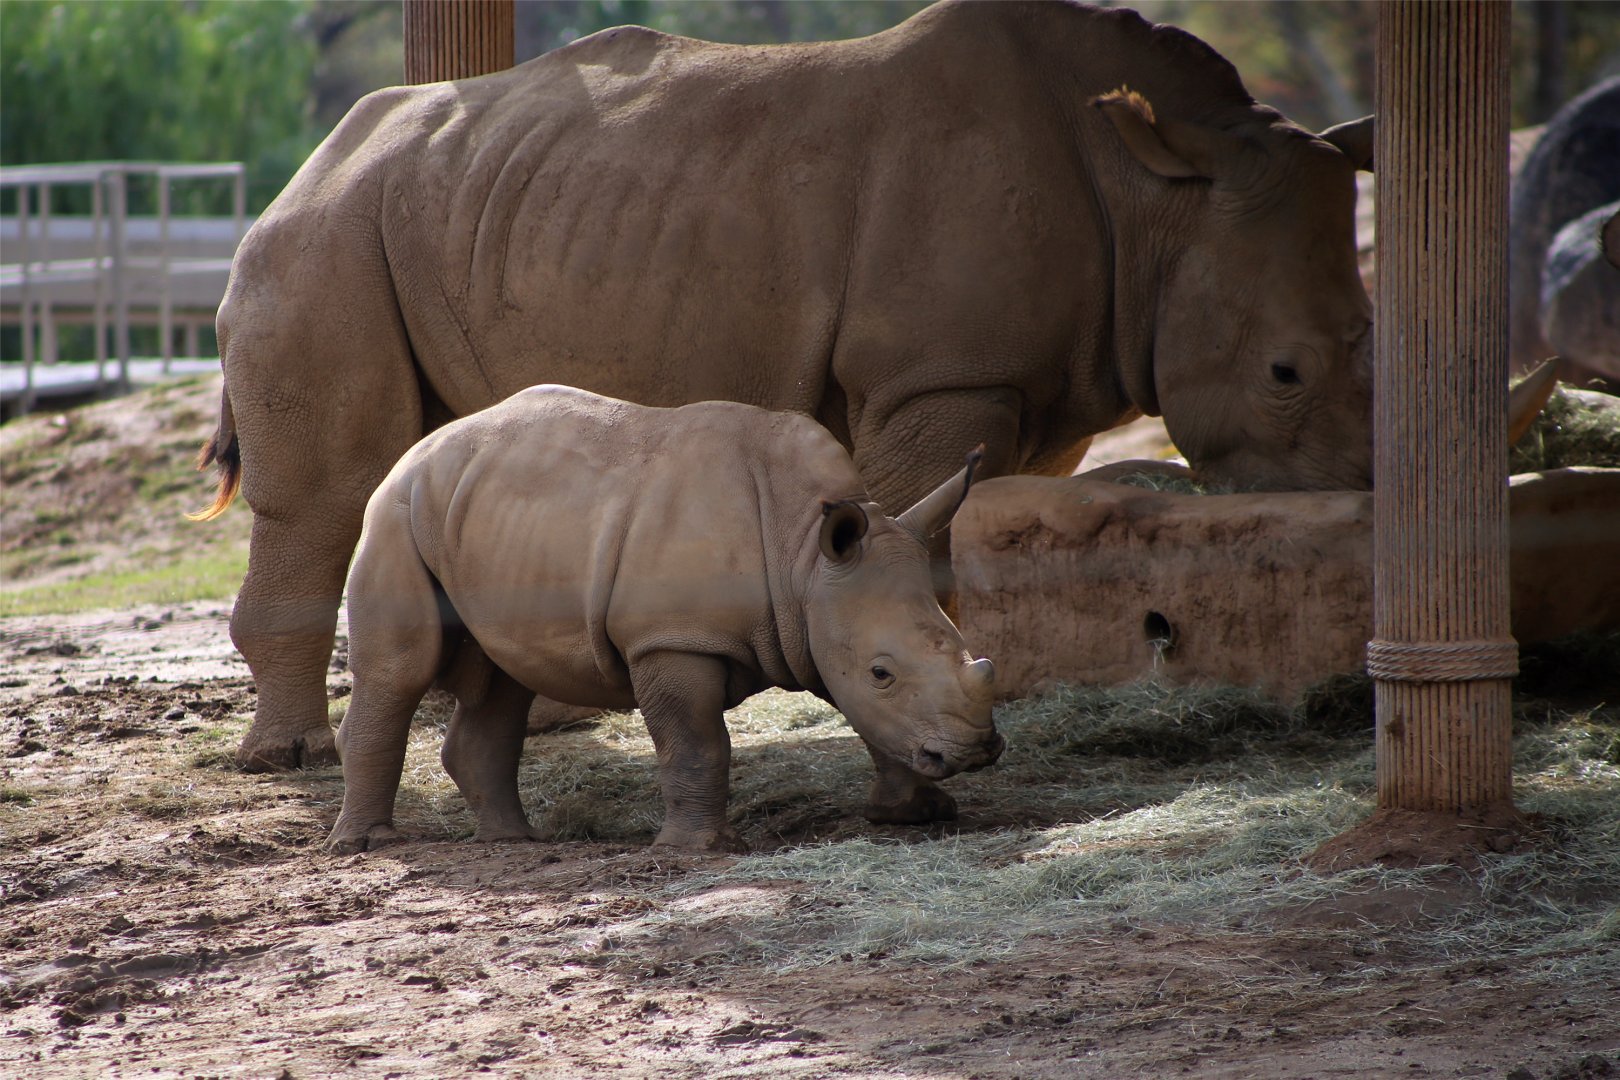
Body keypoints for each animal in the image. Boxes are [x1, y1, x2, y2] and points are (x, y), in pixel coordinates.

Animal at [196, 0, 1376, 770]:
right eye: (1284, 372)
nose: (1348, 507)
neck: (1156, 197)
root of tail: (309, 161)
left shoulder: (1039, 382)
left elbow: (984, 527)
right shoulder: (936, 378)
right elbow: (914, 538)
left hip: (453, 214)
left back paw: (544, 724)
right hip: (325, 240)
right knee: (332, 489)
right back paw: (288, 759)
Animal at [327, 385, 1003, 853]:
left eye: (964, 648)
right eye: (882, 671)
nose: (977, 749)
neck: (805, 560)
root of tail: (418, 450)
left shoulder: (828, 617)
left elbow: (872, 721)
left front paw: (917, 813)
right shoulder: (671, 638)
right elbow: (697, 741)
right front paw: (700, 850)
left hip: (484, 519)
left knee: (503, 677)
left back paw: (515, 841)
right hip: (396, 511)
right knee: (401, 671)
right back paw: (368, 844)